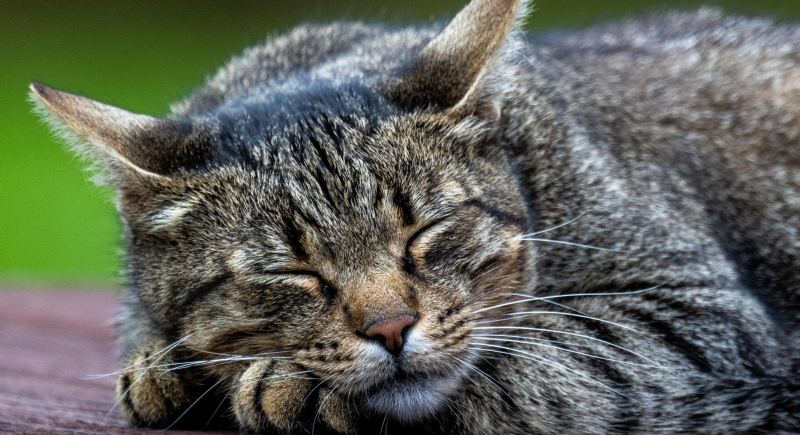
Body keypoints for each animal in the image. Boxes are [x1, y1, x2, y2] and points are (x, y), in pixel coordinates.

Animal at [28, 0, 800, 434]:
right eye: (290, 270)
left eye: (425, 232)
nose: (392, 329)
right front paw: (169, 367)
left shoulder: (698, 305)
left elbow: (533, 358)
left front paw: (282, 384)